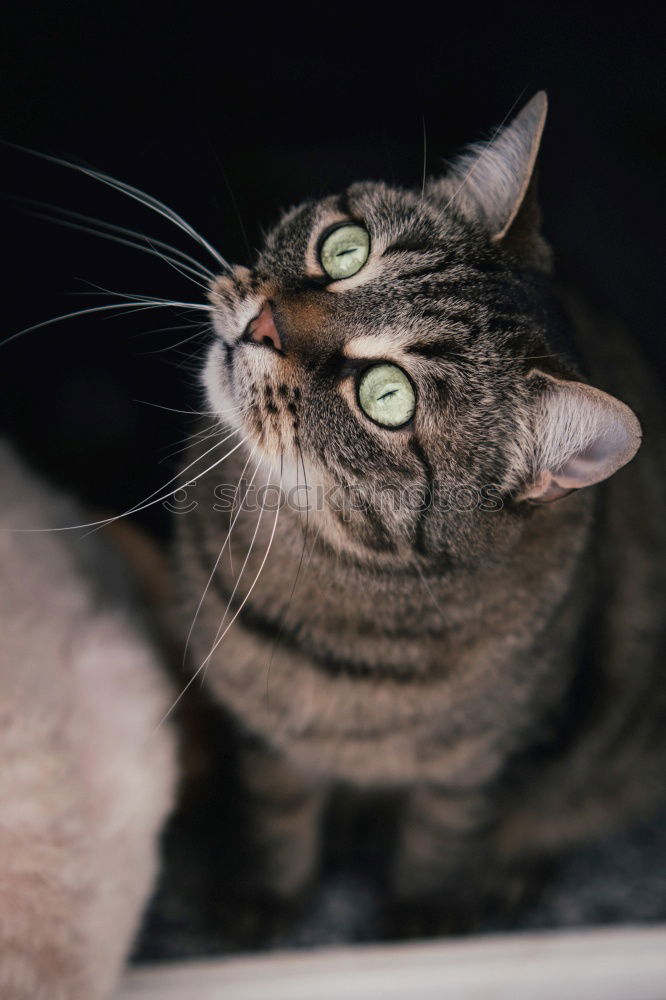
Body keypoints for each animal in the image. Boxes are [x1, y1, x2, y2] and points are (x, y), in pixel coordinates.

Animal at [172, 92, 664, 928]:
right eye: (344, 248)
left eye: (389, 397)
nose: (262, 324)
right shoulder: (268, 738)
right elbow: (277, 812)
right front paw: (263, 900)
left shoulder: (491, 764)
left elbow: (444, 838)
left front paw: (423, 920)